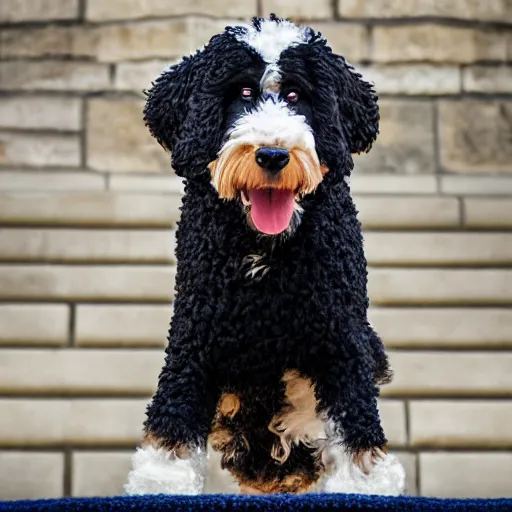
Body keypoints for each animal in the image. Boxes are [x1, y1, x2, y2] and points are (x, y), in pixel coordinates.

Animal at [133, 15, 396, 496]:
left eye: (295, 95)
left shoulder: (342, 339)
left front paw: (364, 483)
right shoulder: (194, 338)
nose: (272, 154)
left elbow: (356, 428)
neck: (265, 253)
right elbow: (172, 428)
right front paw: (160, 481)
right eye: (242, 93)